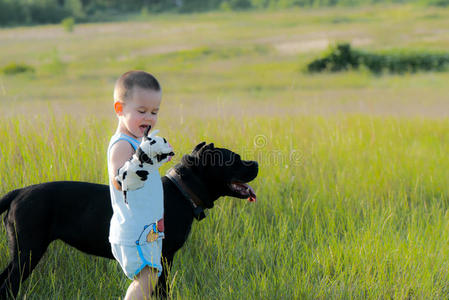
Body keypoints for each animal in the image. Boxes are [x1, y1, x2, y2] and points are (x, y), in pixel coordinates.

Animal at [0, 142, 258, 298]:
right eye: (234, 159)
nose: (256, 163)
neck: (182, 191)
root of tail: (19, 192)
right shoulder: (164, 257)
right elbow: (162, 291)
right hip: (27, 253)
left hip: (21, 253)